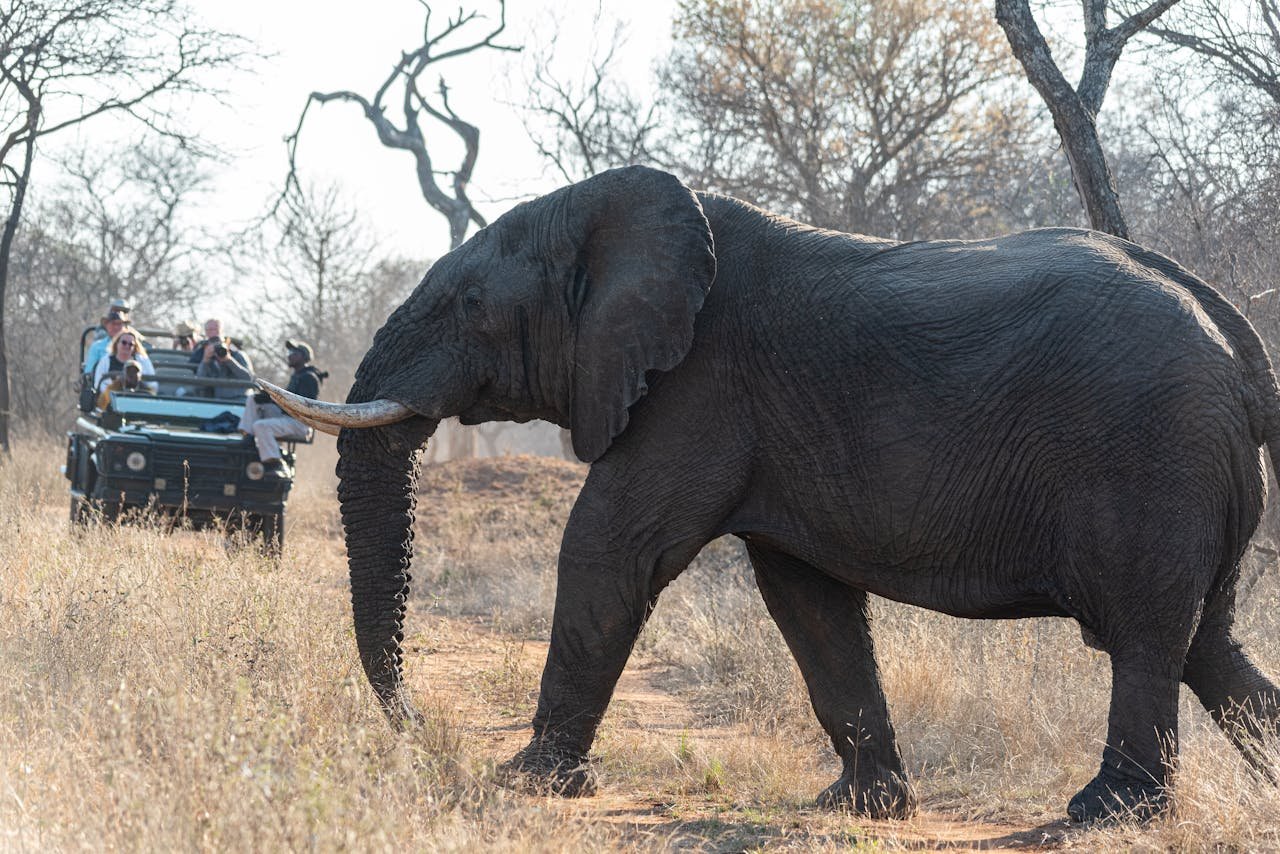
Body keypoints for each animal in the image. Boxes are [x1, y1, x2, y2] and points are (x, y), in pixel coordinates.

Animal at [263, 165, 1280, 823]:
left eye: (471, 308)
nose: (418, 726)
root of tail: (1237, 342)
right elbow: (806, 598)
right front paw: (864, 808)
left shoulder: (695, 389)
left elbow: (607, 550)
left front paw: (528, 780)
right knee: (1205, 643)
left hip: (1153, 459)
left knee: (1146, 636)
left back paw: (1105, 814)